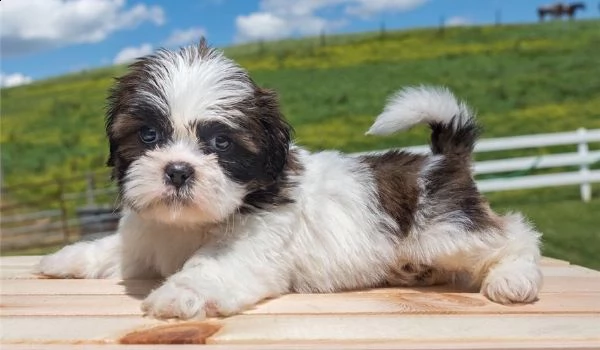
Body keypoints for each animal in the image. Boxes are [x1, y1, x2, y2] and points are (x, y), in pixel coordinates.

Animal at [38, 40, 544, 320]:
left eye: (221, 143)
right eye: (148, 136)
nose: (177, 170)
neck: (192, 223)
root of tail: (443, 160)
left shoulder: (251, 248)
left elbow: (211, 267)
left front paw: (182, 293)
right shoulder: (147, 239)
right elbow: (117, 249)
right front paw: (68, 257)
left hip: (445, 230)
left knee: (515, 233)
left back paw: (514, 278)